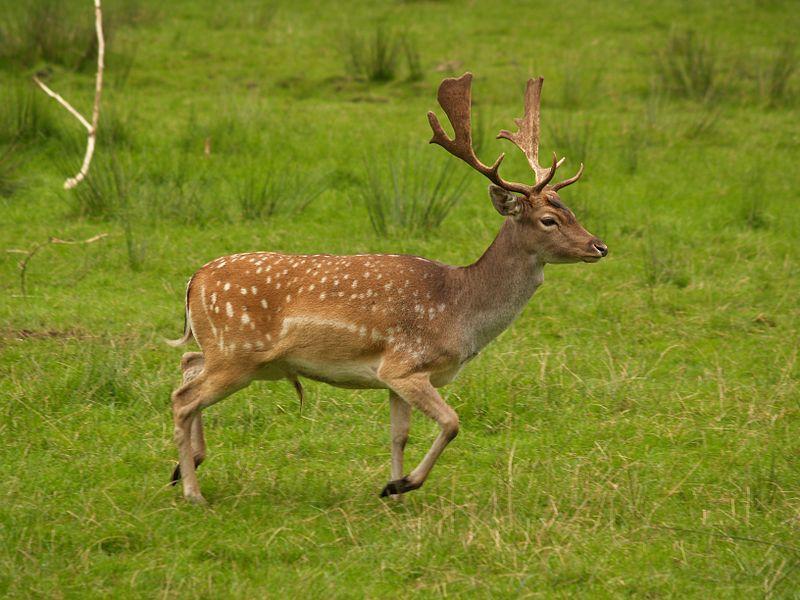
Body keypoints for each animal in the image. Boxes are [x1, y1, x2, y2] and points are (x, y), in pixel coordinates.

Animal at [169, 72, 608, 504]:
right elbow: (451, 423)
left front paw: (393, 493)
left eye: (572, 211)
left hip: (233, 354)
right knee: (183, 399)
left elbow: (400, 435)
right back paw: (192, 491)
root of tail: (194, 280)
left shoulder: (395, 377)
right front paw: (402, 485)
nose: (599, 246)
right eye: (549, 220)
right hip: (236, 353)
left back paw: (183, 467)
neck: (460, 311)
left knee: (188, 364)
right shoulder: (405, 364)